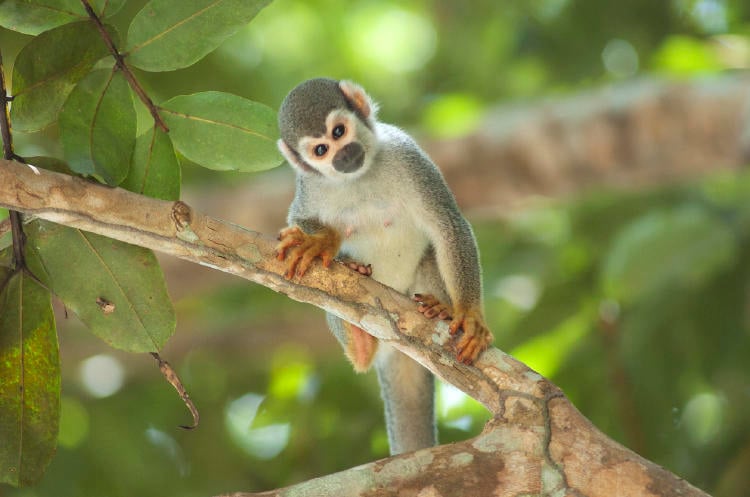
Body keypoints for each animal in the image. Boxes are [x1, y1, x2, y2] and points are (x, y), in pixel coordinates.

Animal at [275, 78, 493, 455]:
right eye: (321, 150)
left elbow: (447, 225)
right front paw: (323, 241)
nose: (343, 155)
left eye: (339, 131)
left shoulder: (406, 154)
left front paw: (469, 314)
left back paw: (442, 307)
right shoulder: (310, 185)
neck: (359, 178)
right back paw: (360, 341)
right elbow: (296, 223)